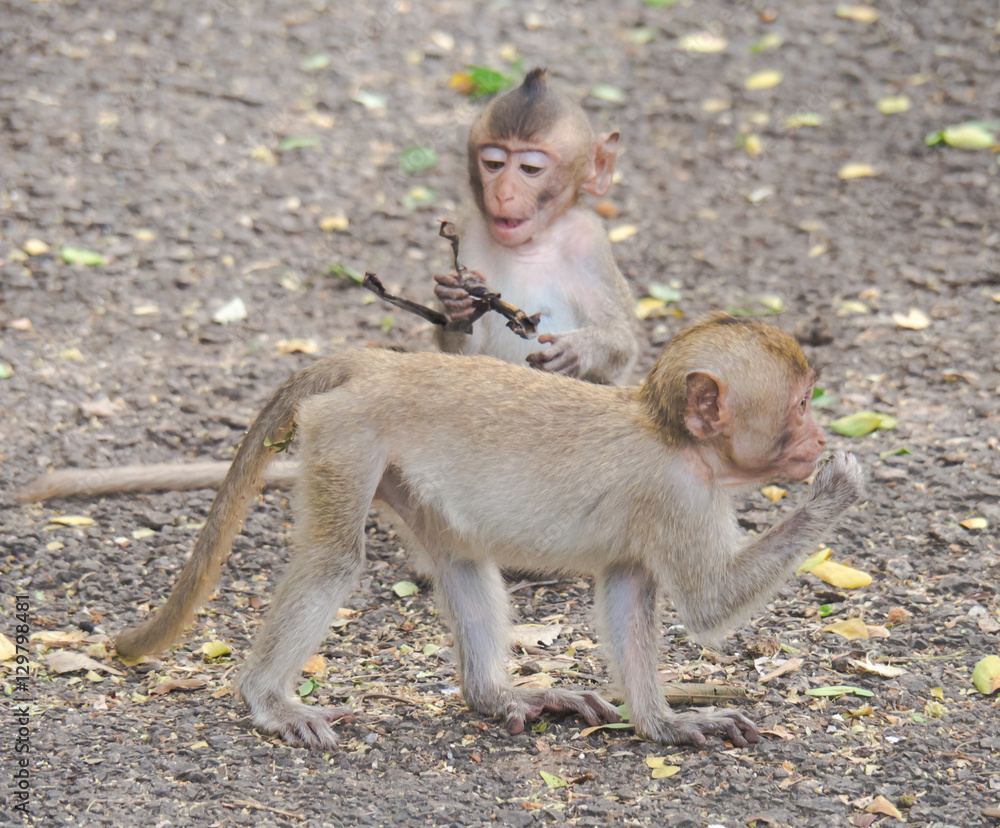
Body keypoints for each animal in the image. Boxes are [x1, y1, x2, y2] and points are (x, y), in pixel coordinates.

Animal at [114, 314, 865, 750]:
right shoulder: (681, 497)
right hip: (347, 433)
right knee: (335, 559)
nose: (816, 437)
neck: (677, 438)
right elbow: (708, 608)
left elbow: (628, 596)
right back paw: (269, 701)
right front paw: (836, 491)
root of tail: (386, 362)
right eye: (801, 405)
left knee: (460, 559)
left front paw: (664, 723)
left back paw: (496, 695)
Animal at [433, 68, 638, 385]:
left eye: (530, 169)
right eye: (494, 164)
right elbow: (463, 355)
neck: (529, 246)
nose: (503, 193)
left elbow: (623, 343)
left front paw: (580, 349)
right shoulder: (469, 230)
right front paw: (454, 303)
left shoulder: (590, 244)